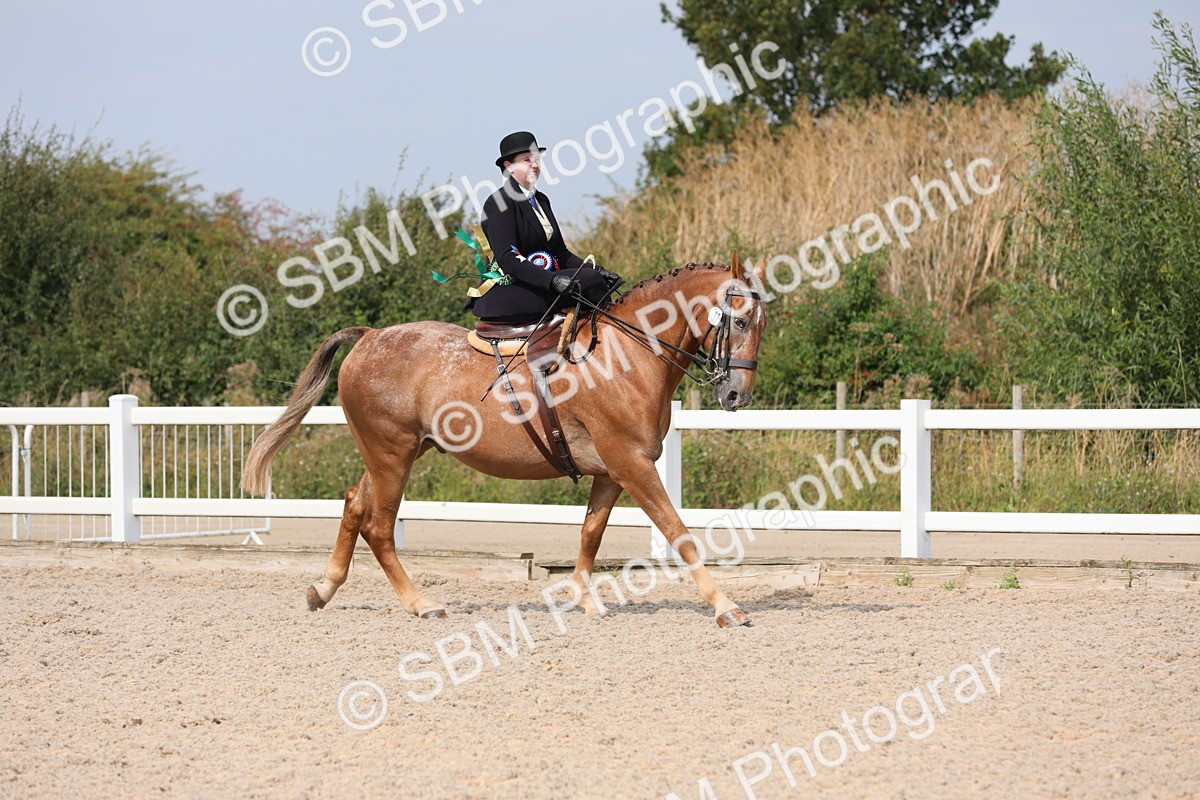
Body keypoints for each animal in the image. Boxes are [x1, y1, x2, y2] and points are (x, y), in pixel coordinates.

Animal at [241, 254, 768, 627]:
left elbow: (590, 534)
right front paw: (726, 606)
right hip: (392, 456)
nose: (737, 395)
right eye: (740, 321)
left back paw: (323, 589)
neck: (626, 356)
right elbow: (679, 534)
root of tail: (370, 337)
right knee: (378, 526)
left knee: (354, 504)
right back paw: (421, 604)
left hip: (394, 454)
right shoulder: (632, 464)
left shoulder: (611, 472)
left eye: (762, 325)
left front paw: (586, 601)